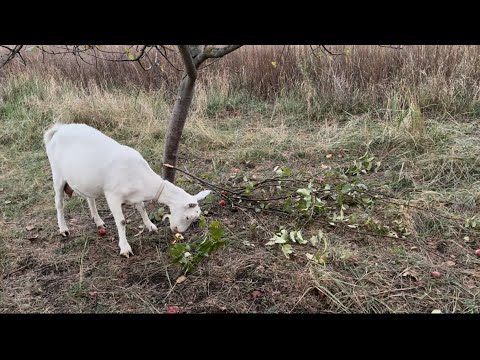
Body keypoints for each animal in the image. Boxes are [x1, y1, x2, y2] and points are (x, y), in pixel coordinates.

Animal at [43, 122, 210, 258]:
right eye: (188, 217)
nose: (178, 231)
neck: (141, 180)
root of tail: (58, 129)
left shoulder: (135, 195)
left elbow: (142, 208)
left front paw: (150, 226)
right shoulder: (112, 195)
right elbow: (122, 222)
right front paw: (125, 248)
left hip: (86, 180)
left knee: (90, 199)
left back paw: (98, 221)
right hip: (57, 173)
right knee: (59, 203)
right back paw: (63, 229)